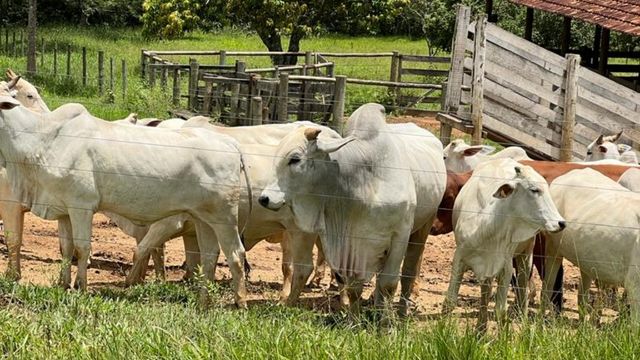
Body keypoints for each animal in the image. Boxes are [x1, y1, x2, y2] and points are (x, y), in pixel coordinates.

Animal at [0, 95, 249, 306]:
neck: (44, 139)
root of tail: (230, 144)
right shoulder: (63, 210)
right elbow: (66, 248)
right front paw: (63, 285)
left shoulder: (82, 206)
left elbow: (82, 248)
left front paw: (81, 287)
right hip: (203, 219)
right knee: (209, 257)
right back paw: (203, 302)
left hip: (225, 217)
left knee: (236, 254)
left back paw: (240, 302)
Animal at [258, 104, 444, 320]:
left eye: (295, 159)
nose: (264, 198)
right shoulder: (352, 242)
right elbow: (354, 287)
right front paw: (353, 320)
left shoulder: (400, 234)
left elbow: (389, 283)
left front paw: (386, 324)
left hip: (423, 227)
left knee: (408, 273)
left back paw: (400, 312)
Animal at [440, 159, 564, 330]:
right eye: (534, 189)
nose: (561, 223)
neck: (485, 226)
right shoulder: (459, 257)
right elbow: (450, 301)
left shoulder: (505, 267)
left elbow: (501, 310)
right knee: (486, 293)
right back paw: (480, 329)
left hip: (526, 255)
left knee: (523, 292)